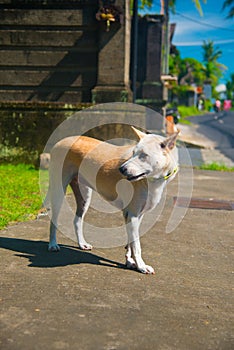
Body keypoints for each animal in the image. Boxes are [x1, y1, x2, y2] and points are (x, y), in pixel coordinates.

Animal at [47, 127, 179, 274]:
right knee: (53, 219)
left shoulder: (135, 215)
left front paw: (130, 261)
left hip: (85, 196)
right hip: (58, 191)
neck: (151, 180)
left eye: (144, 155)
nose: (121, 169)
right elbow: (136, 245)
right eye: (133, 153)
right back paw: (53, 244)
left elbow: (130, 243)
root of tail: (60, 141)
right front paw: (141, 266)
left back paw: (81, 244)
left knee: (77, 219)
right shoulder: (133, 215)